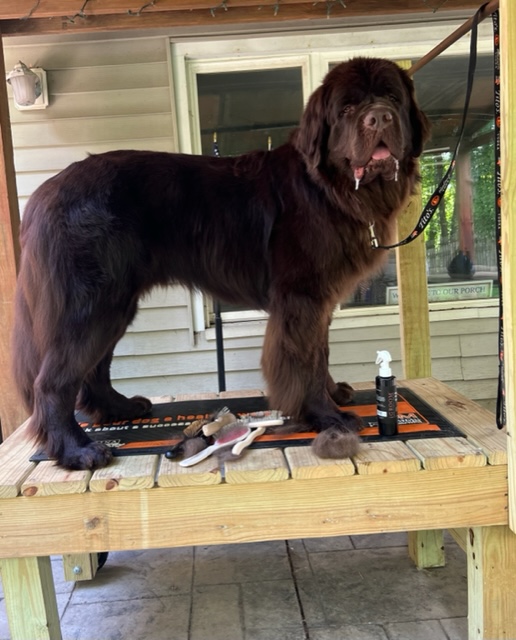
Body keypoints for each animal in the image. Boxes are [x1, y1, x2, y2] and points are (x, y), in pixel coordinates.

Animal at [13, 57, 432, 468]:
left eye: (392, 99)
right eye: (346, 108)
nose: (379, 118)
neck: (329, 188)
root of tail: (43, 193)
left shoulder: (320, 300)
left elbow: (320, 352)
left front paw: (334, 393)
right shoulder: (301, 298)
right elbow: (304, 360)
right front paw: (326, 415)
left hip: (115, 303)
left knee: (95, 367)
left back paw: (120, 408)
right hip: (92, 302)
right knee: (53, 380)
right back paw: (76, 450)